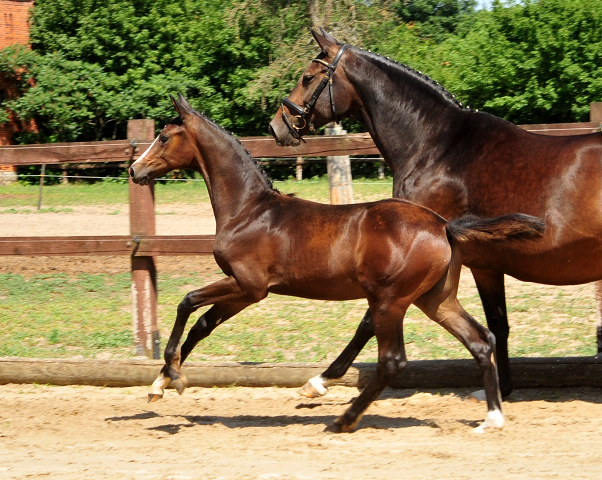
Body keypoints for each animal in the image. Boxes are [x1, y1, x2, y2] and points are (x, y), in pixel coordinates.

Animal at [129, 94, 540, 432]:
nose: (135, 170)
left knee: (393, 361)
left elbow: (187, 303)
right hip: (436, 299)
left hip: (390, 302)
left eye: (163, 137)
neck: (249, 209)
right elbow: (202, 325)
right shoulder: (244, 292)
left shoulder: (249, 285)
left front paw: (171, 376)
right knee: (481, 340)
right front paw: (161, 383)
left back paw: (343, 419)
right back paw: (492, 418)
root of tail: (443, 225)